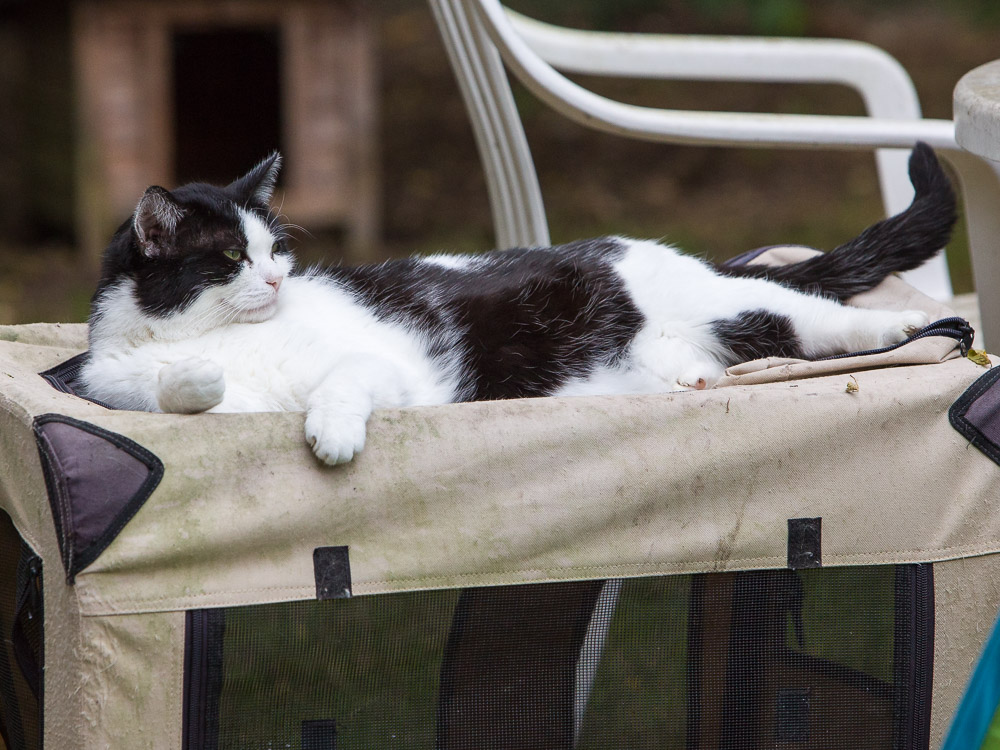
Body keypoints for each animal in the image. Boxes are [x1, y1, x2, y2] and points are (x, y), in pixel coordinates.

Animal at [78, 142, 952, 464]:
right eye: (232, 259)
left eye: (275, 253)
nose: (275, 282)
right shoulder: (123, 379)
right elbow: (173, 390)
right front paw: (194, 379)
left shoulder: (386, 365)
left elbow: (344, 381)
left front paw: (331, 434)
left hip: (740, 303)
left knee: (826, 316)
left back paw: (917, 325)